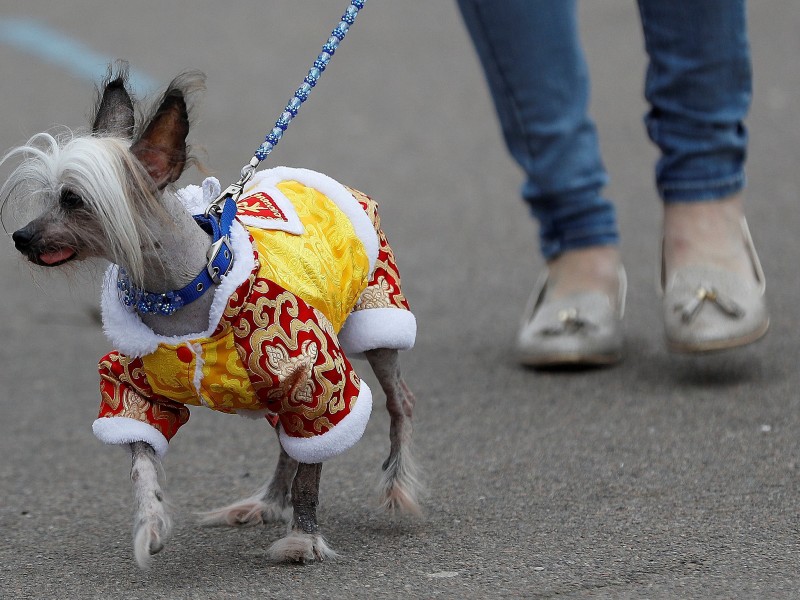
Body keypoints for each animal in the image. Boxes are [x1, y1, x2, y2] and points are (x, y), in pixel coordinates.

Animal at [1, 65, 418, 568]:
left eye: (74, 200)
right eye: (49, 197)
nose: (21, 237)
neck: (183, 294)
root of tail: (318, 179)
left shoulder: (316, 378)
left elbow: (312, 472)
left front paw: (303, 539)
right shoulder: (133, 389)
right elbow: (142, 462)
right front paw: (150, 524)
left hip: (379, 315)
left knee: (398, 405)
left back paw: (396, 484)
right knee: (289, 444)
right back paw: (265, 502)